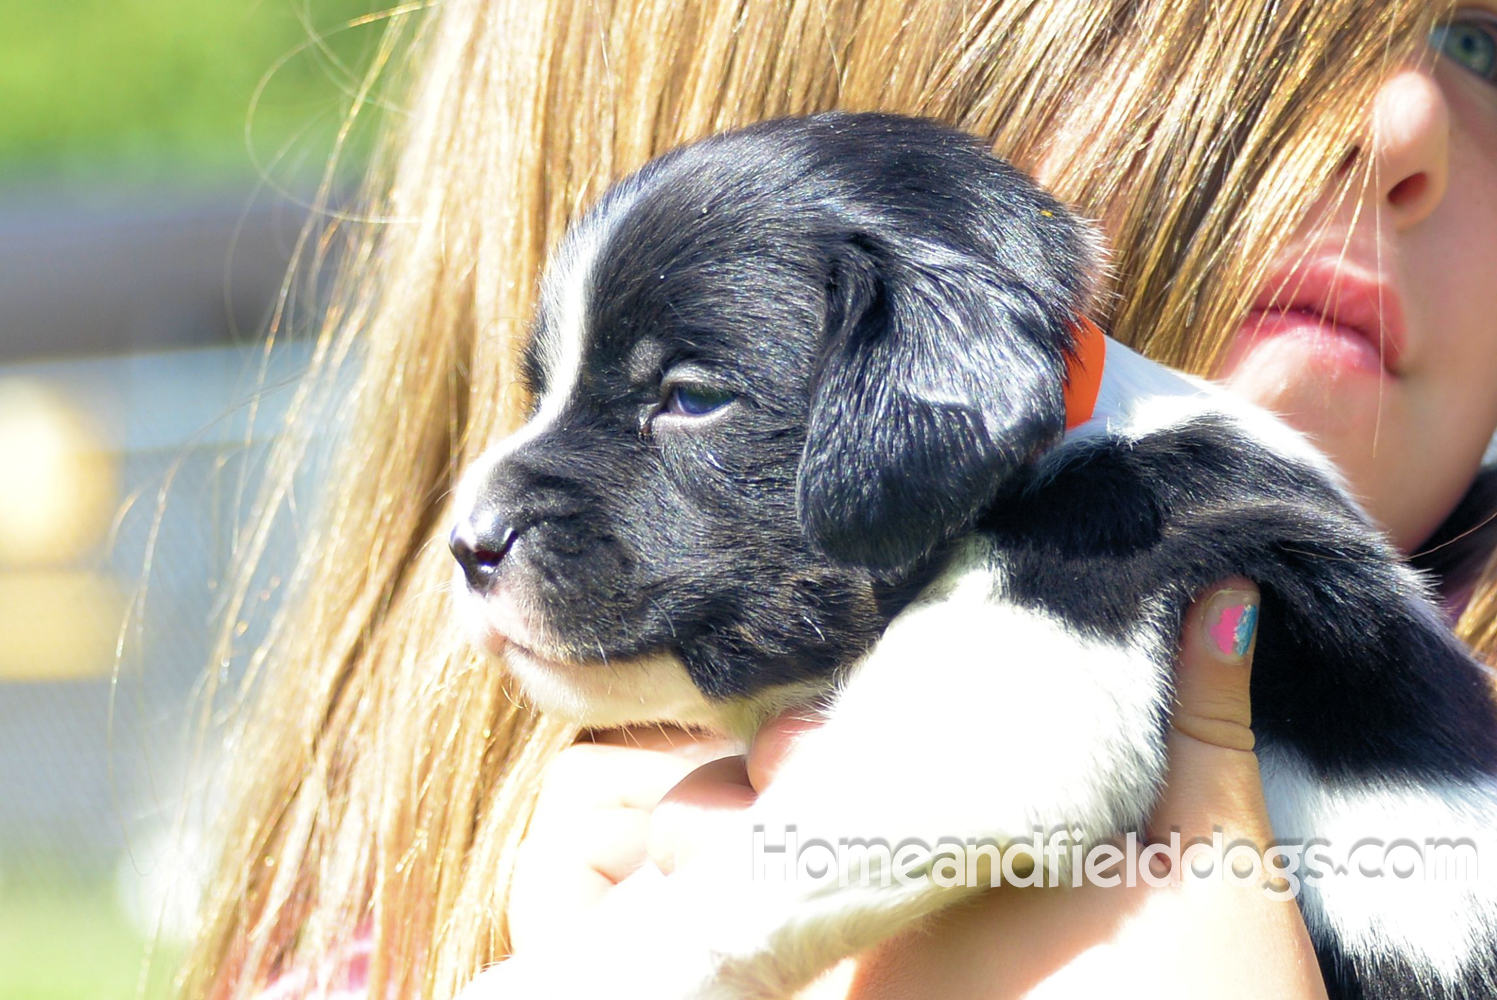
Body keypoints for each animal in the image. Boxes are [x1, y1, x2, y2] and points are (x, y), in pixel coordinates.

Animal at [449, 113, 1497, 994]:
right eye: (542, 391)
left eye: (691, 398)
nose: (466, 545)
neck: (1056, 458)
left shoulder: (1018, 693)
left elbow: (725, 889)